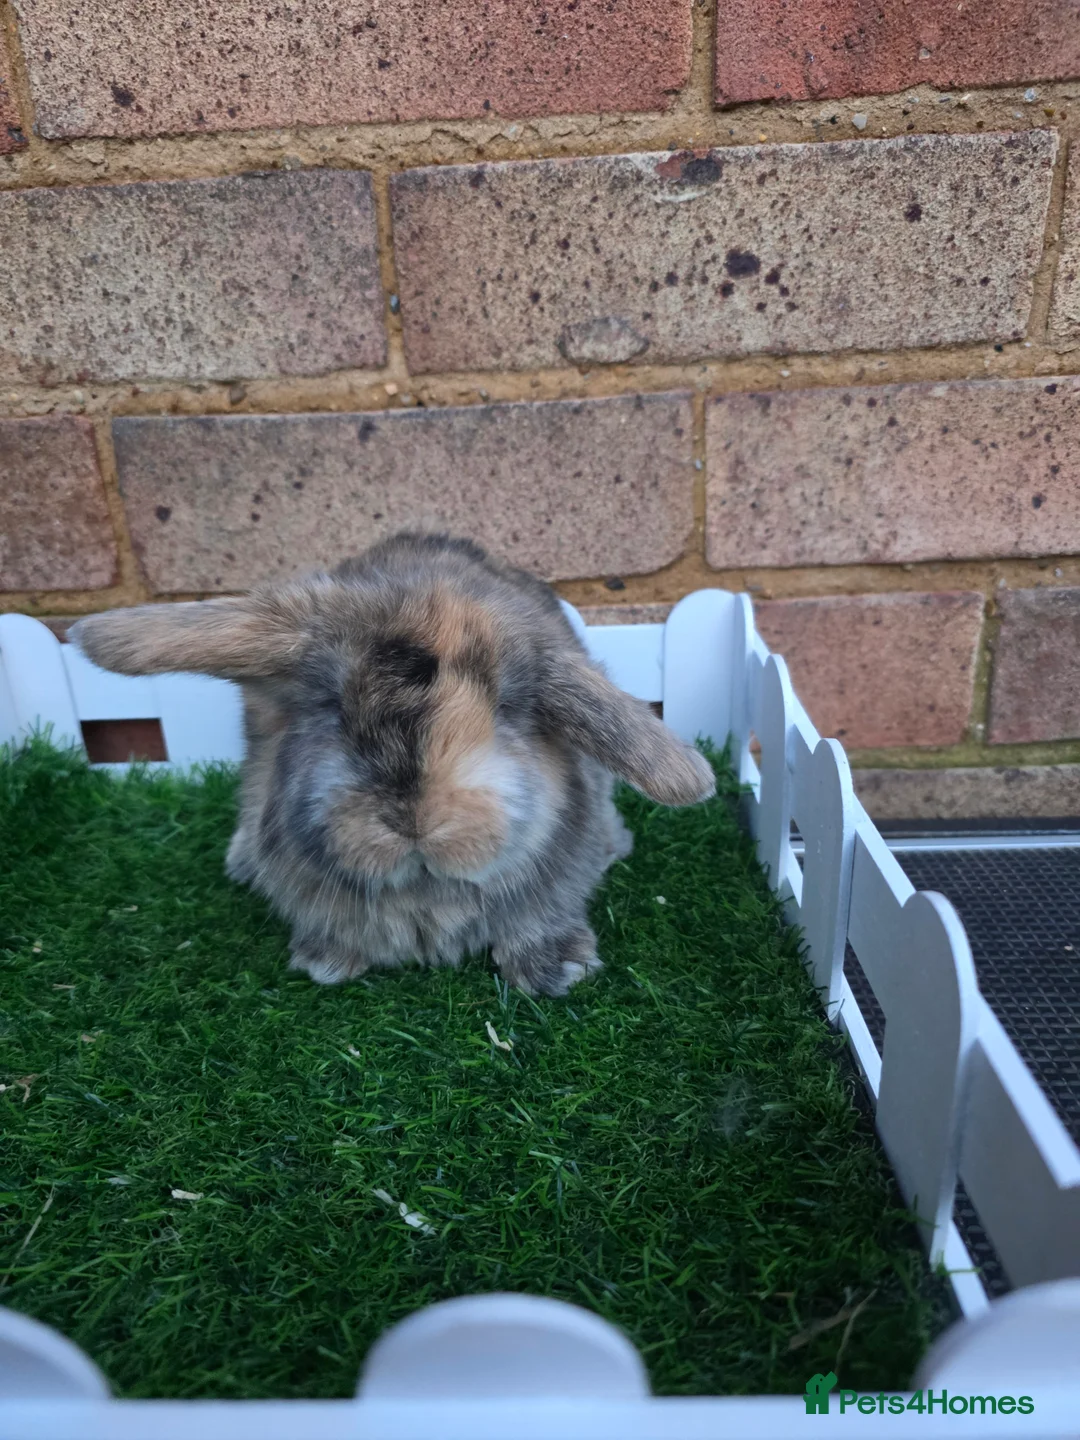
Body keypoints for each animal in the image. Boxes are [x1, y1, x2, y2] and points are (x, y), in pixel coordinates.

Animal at [70, 532, 715, 996]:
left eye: (507, 707)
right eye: (332, 706)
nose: (415, 820)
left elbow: (539, 918)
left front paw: (558, 972)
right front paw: (327, 961)